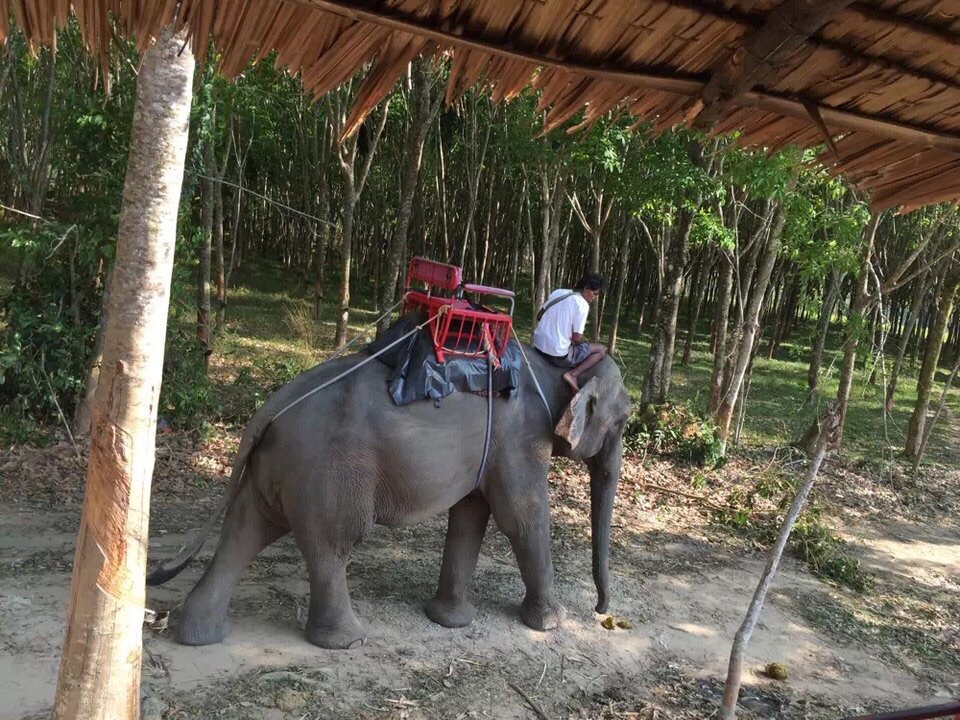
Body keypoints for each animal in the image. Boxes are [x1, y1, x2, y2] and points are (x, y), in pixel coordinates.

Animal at [148, 340, 632, 648]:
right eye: (625, 420)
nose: (602, 612)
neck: (557, 365)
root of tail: (272, 405)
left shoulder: (494, 447)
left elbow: (470, 515)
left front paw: (450, 622)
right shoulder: (520, 439)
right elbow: (521, 515)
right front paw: (551, 624)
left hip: (278, 467)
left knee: (245, 530)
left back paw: (196, 635)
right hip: (328, 473)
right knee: (331, 545)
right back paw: (346, 642)